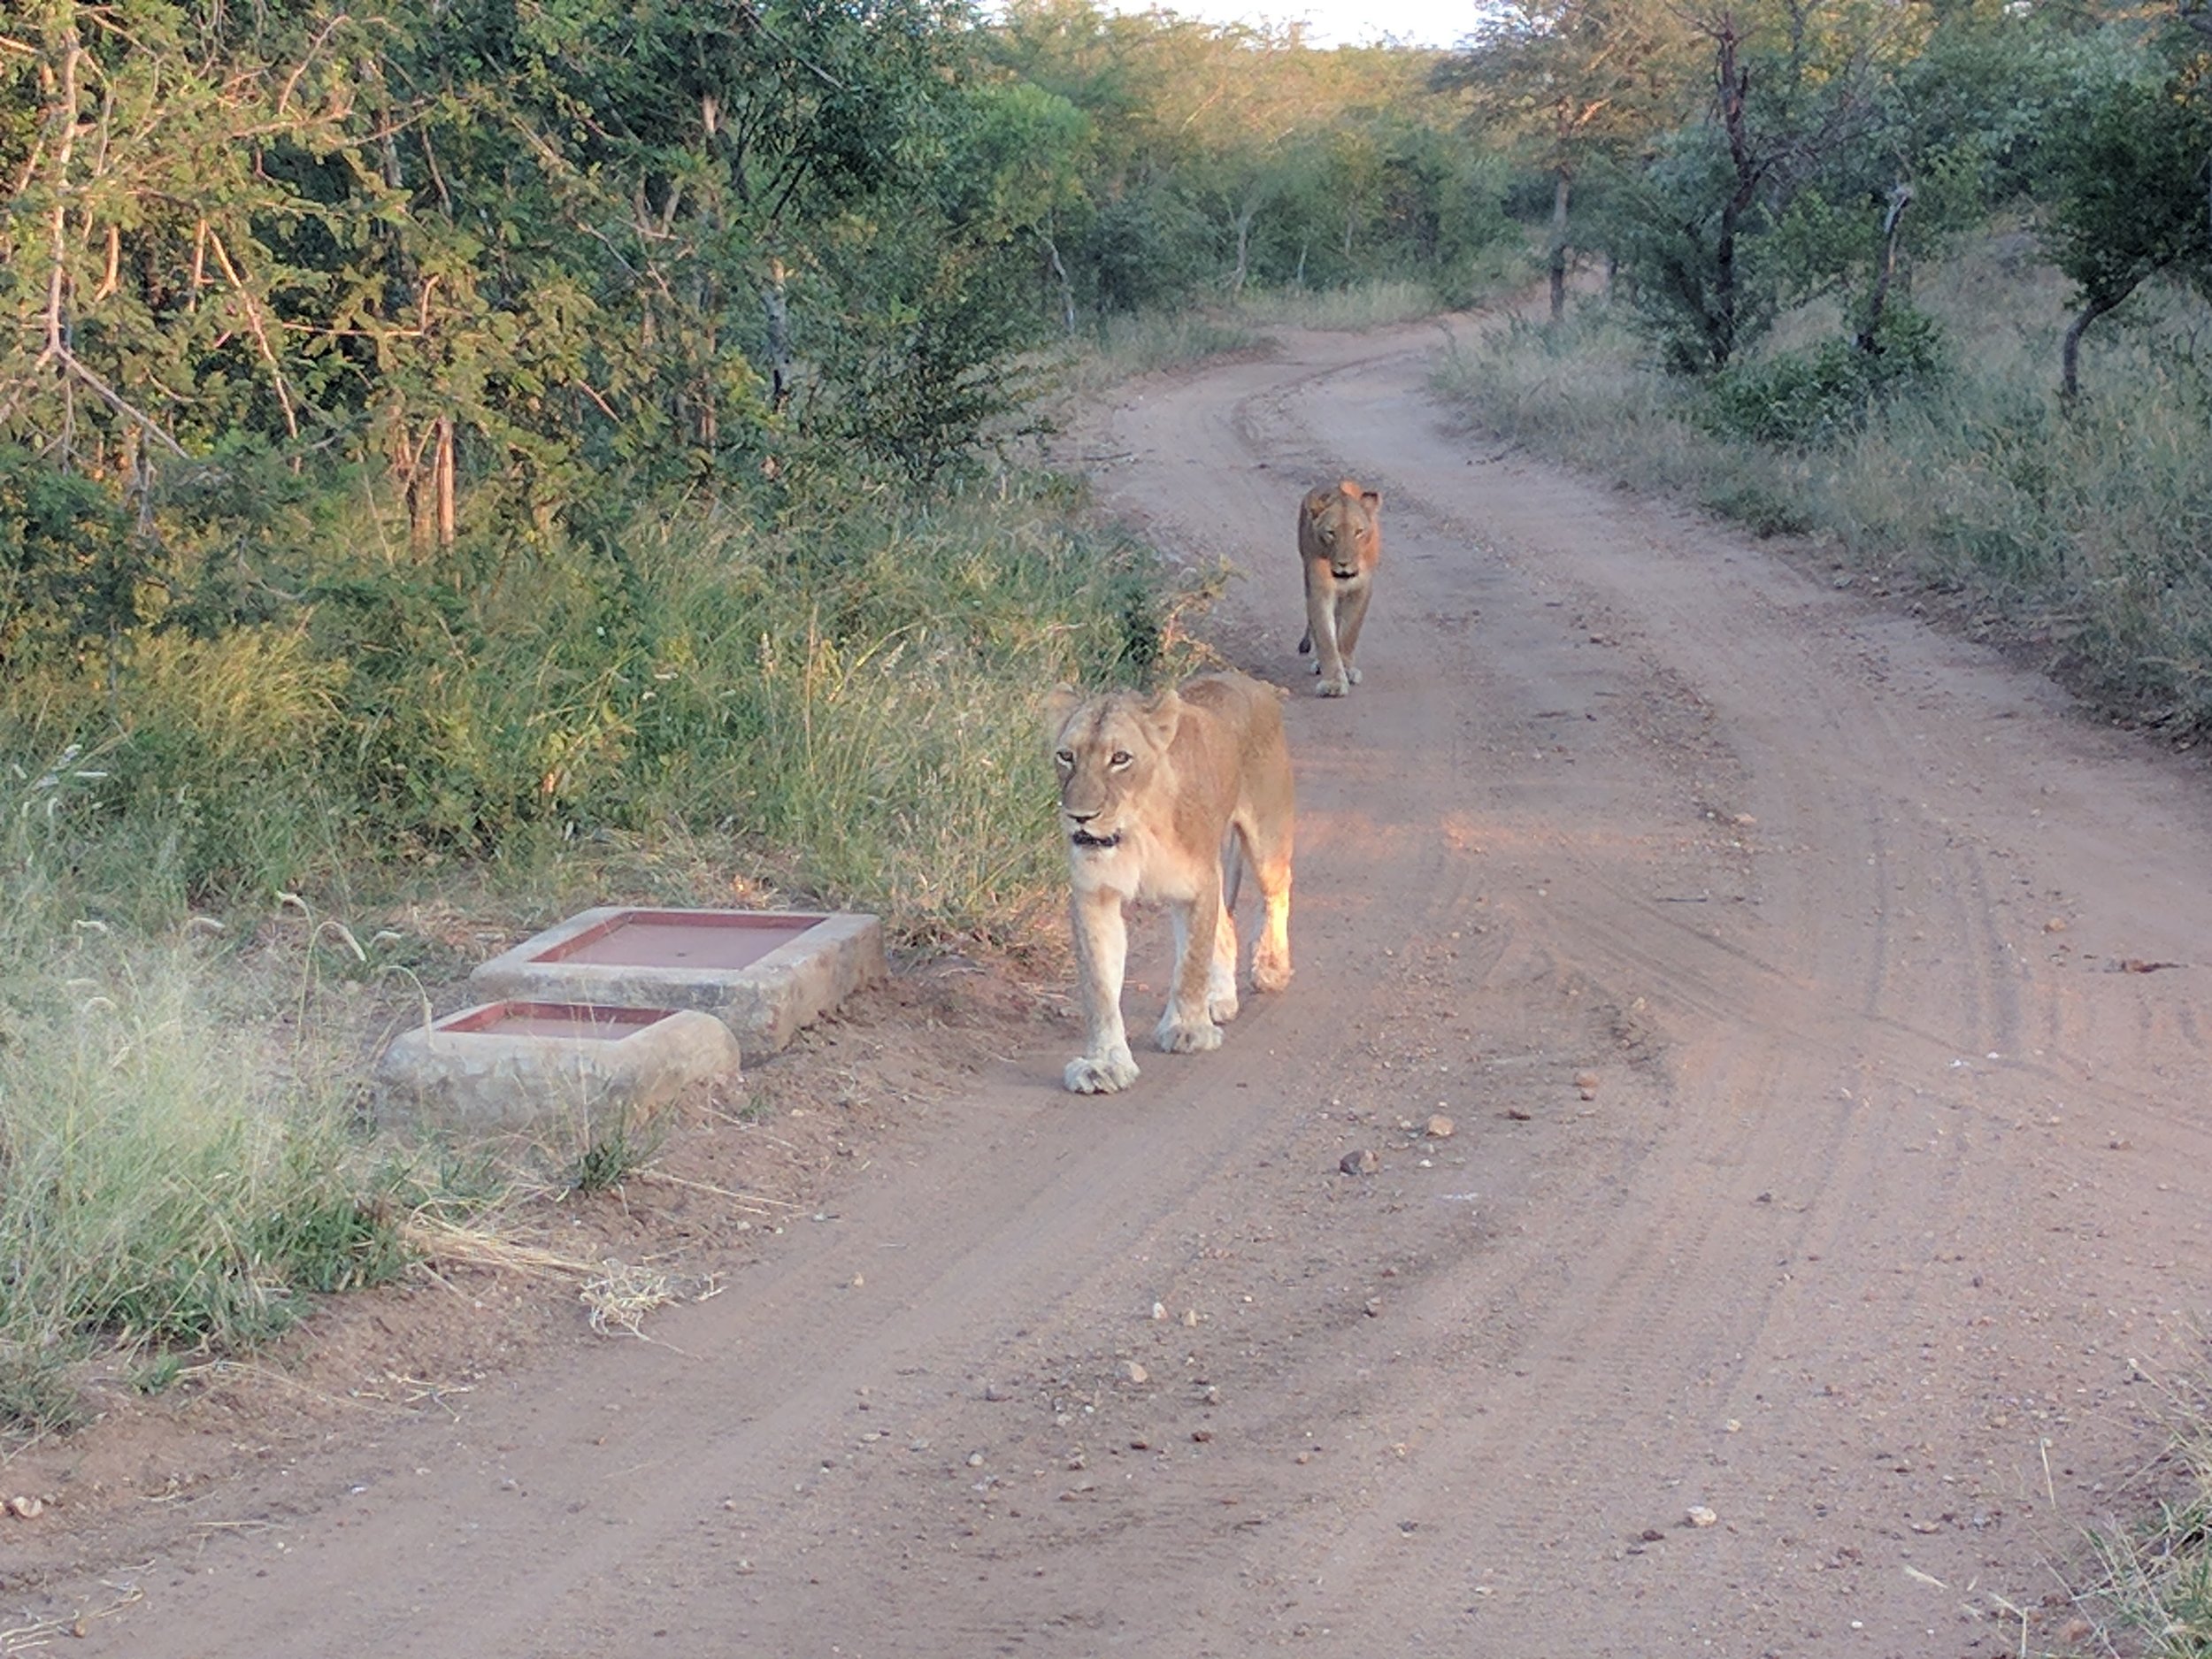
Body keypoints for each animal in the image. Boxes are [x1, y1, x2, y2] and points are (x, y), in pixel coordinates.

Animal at [1045, 671, 1295, 1095]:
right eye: (1066, 756)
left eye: (1120, 758)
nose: (1080, 817)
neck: (1135, 828)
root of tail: (1246, 680)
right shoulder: (1095, 894)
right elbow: (1099, 985)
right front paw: (1104, 1064)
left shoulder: (1196, 885)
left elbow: (1190, 964)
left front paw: (1187, 1030)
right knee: (1226, 924)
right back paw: (1219, 997)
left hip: (1268, 837)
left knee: (1276, 893)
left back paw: (1271, 967)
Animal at [1296, 479, 1382, 697]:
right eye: (1331, 533)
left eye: (1358, 532)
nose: (1344, 564)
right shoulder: (1319, 589)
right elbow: (1326, 637)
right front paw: (1334, 682)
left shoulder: (1361, 589)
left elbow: (1350, 631)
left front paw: (1346, 668)